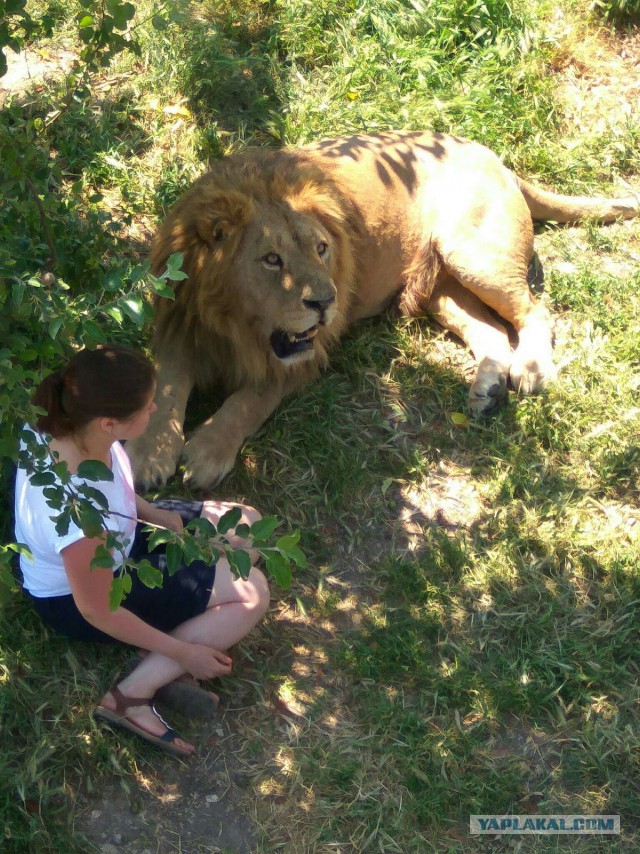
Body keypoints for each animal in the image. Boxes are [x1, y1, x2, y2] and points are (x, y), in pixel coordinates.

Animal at [127, 131, 638, 490]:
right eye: (271, 259)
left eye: (322, 249)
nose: (326, 303)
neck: (233, 323)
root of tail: (497, 159)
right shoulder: (179, 327)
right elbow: (164, 388)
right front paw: (149, 454)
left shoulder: (305, 355)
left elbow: (248, 401)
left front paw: (206, 452)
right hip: (440, 289)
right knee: (491, 332)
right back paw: (488, 389)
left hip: (473, 254)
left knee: (536, 312)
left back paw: (532, 370)